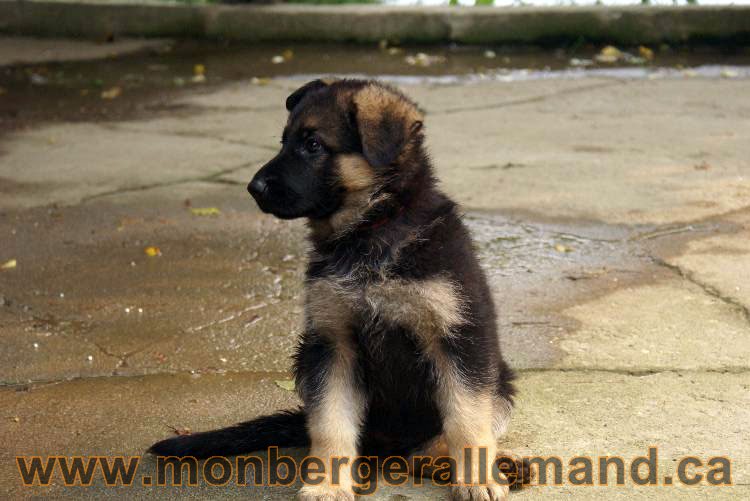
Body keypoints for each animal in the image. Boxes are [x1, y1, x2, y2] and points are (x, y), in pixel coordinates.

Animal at [150, 80, 524, 498]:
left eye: (313, 145)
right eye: (283, 142)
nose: (253, 187)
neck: (370, 230)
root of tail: (389, 446)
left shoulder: (458, 339)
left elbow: (465, 419)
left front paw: (478, 479)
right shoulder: (332, 344)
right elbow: (330, 423)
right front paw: (327, 485)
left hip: (501, 383)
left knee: (429, 447)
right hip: (303, 358)